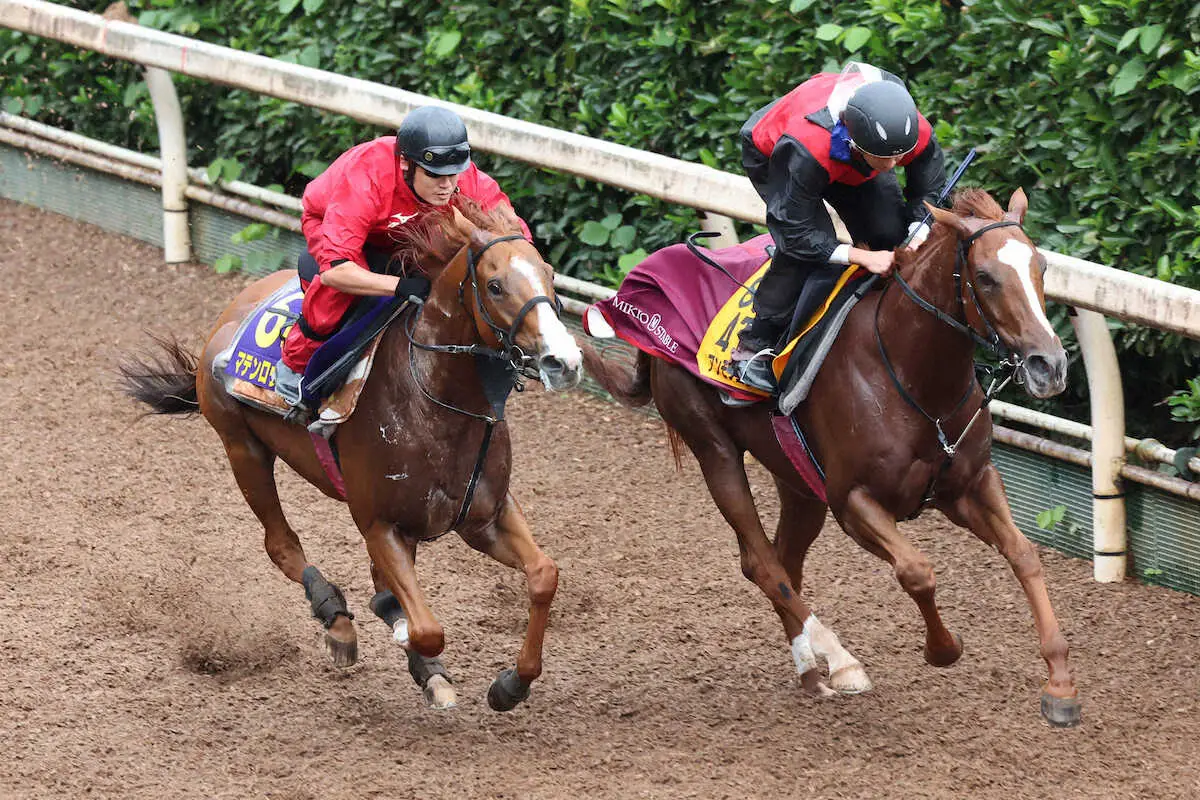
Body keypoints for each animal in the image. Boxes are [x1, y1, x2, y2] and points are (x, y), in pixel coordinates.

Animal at [120, 201, 580, 714]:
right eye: (495, 285)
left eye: (549, 273)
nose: (564, 361)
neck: (434, 404)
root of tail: (228, 315)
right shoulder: (379, 522)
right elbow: (425, 628)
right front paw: (405, 636)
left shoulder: (485, 515)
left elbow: (543, 575)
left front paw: (510, 684)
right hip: (243, 449)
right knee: (281, 544)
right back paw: (337, 621)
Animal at [585, 190, 1084, 729]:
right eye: (987, 276)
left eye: (1041, 266)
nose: (1049, 365)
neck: (911, 374)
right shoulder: (852, 502)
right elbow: (917, 571)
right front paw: (942, 648)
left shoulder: (971, 484)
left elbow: (1024, 554)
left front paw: (1060, 683)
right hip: (714, 448)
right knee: (762, 563)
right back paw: (841, 663)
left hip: (797, 482)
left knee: (783, 562)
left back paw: (810, 670)